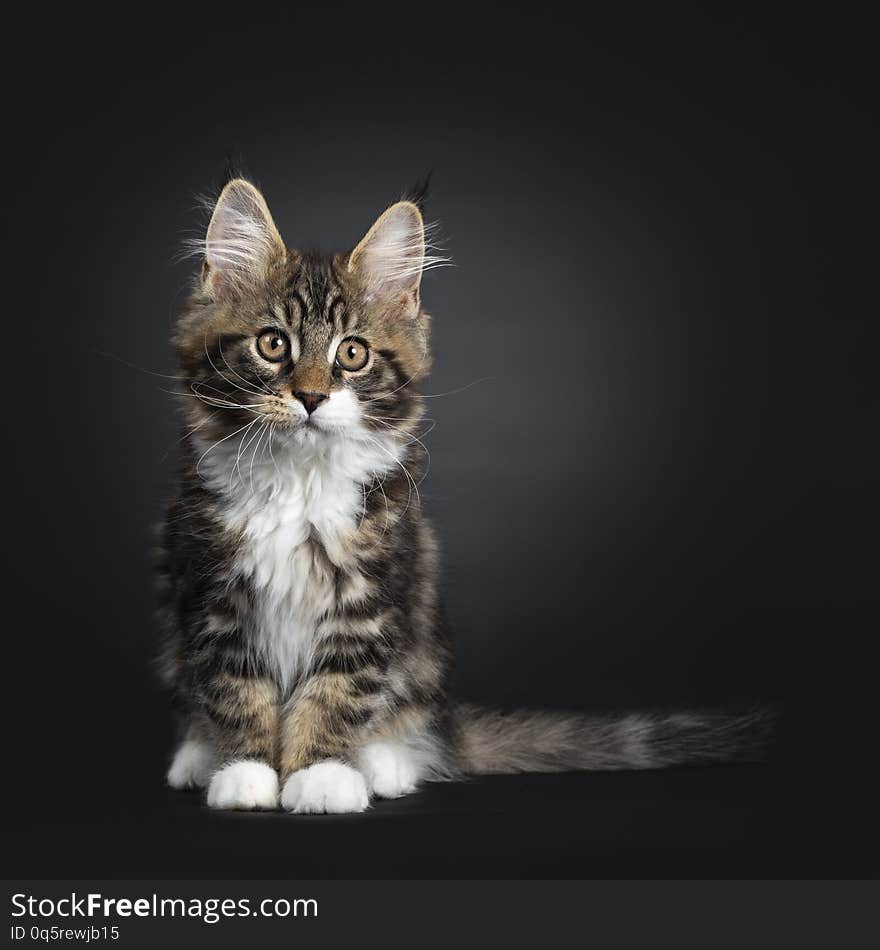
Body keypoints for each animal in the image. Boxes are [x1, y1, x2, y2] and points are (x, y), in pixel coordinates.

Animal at [158, 177, 768, 812]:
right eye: (273, 344)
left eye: (352, 353)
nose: (311, 397)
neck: (300, 483)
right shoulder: (212, 597)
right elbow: (235, 691)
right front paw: (247, 772)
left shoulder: (373, 601)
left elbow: (336, 693)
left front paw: (320, 774)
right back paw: (197, 758)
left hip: (423, 664)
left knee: (412, 727)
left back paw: (384, 763)